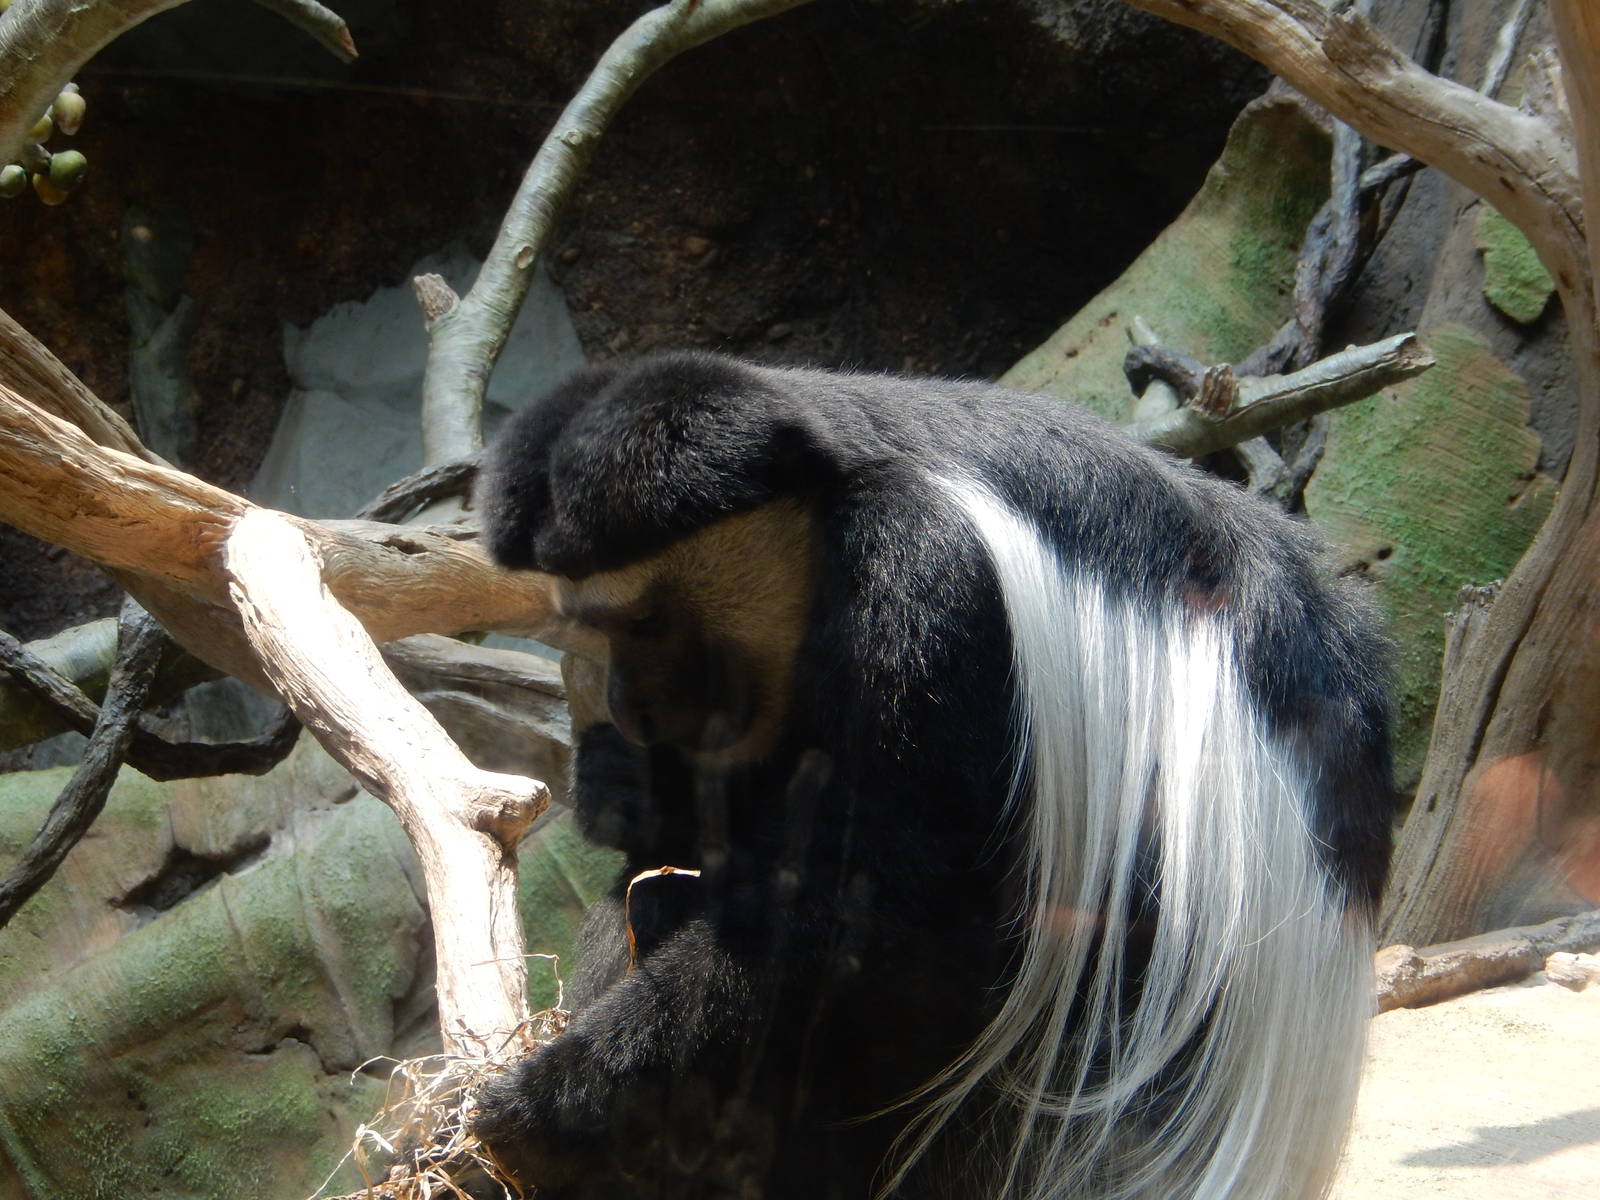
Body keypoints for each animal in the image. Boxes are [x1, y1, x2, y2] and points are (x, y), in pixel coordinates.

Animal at [470, 351, 1393, 1200]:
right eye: (593, 628)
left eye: (649, 621)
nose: (630, 706)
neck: (833, 491)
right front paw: (622, 786)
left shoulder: (924, 581)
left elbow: (873, 909)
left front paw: (546, 1104)